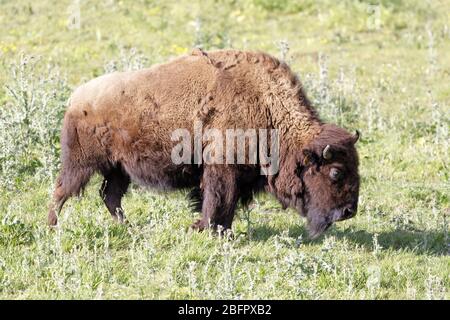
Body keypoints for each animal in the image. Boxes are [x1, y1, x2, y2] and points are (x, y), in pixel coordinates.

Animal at [47, 49, 360, 238]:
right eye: (335, 172)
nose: (349, 212)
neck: (266, 106)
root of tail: (77, 98)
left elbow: (225, 205)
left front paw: (221, 231)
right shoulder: (221, 171)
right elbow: (218, 201)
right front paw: (207, 229)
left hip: (118, 169)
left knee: (109, 196)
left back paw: (129, 228)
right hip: (82, 164)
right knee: (62, 190)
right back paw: (52, 226)